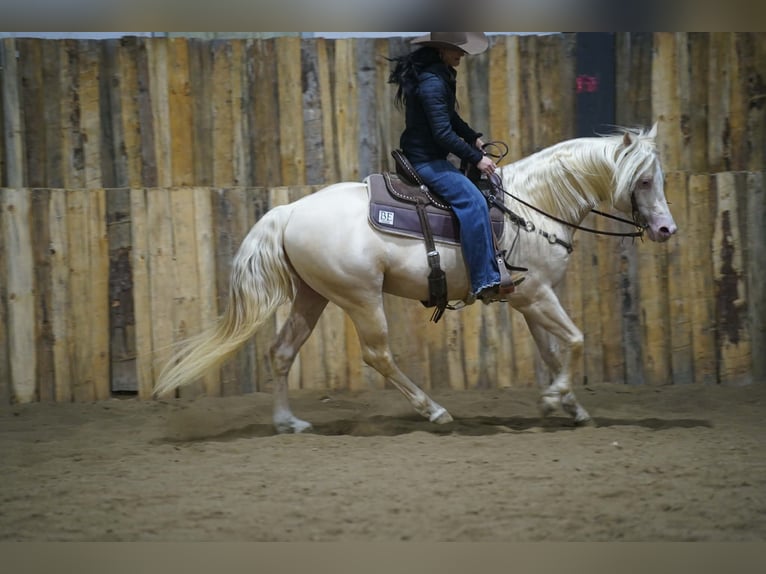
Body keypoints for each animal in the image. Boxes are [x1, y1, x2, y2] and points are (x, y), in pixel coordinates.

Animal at [153, 124, 677, 433]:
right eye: (644, 180)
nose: (666, 230)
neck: (534, 206)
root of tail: (289, 211)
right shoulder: (538, 296)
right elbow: (575, 340)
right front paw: (555, 400)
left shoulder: (529, 300)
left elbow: (553, 351)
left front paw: (568, 406)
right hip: (361, 298)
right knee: (378, 355)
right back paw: (435, 410)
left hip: (312, 296)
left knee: (282, 352)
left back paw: (289, 422)